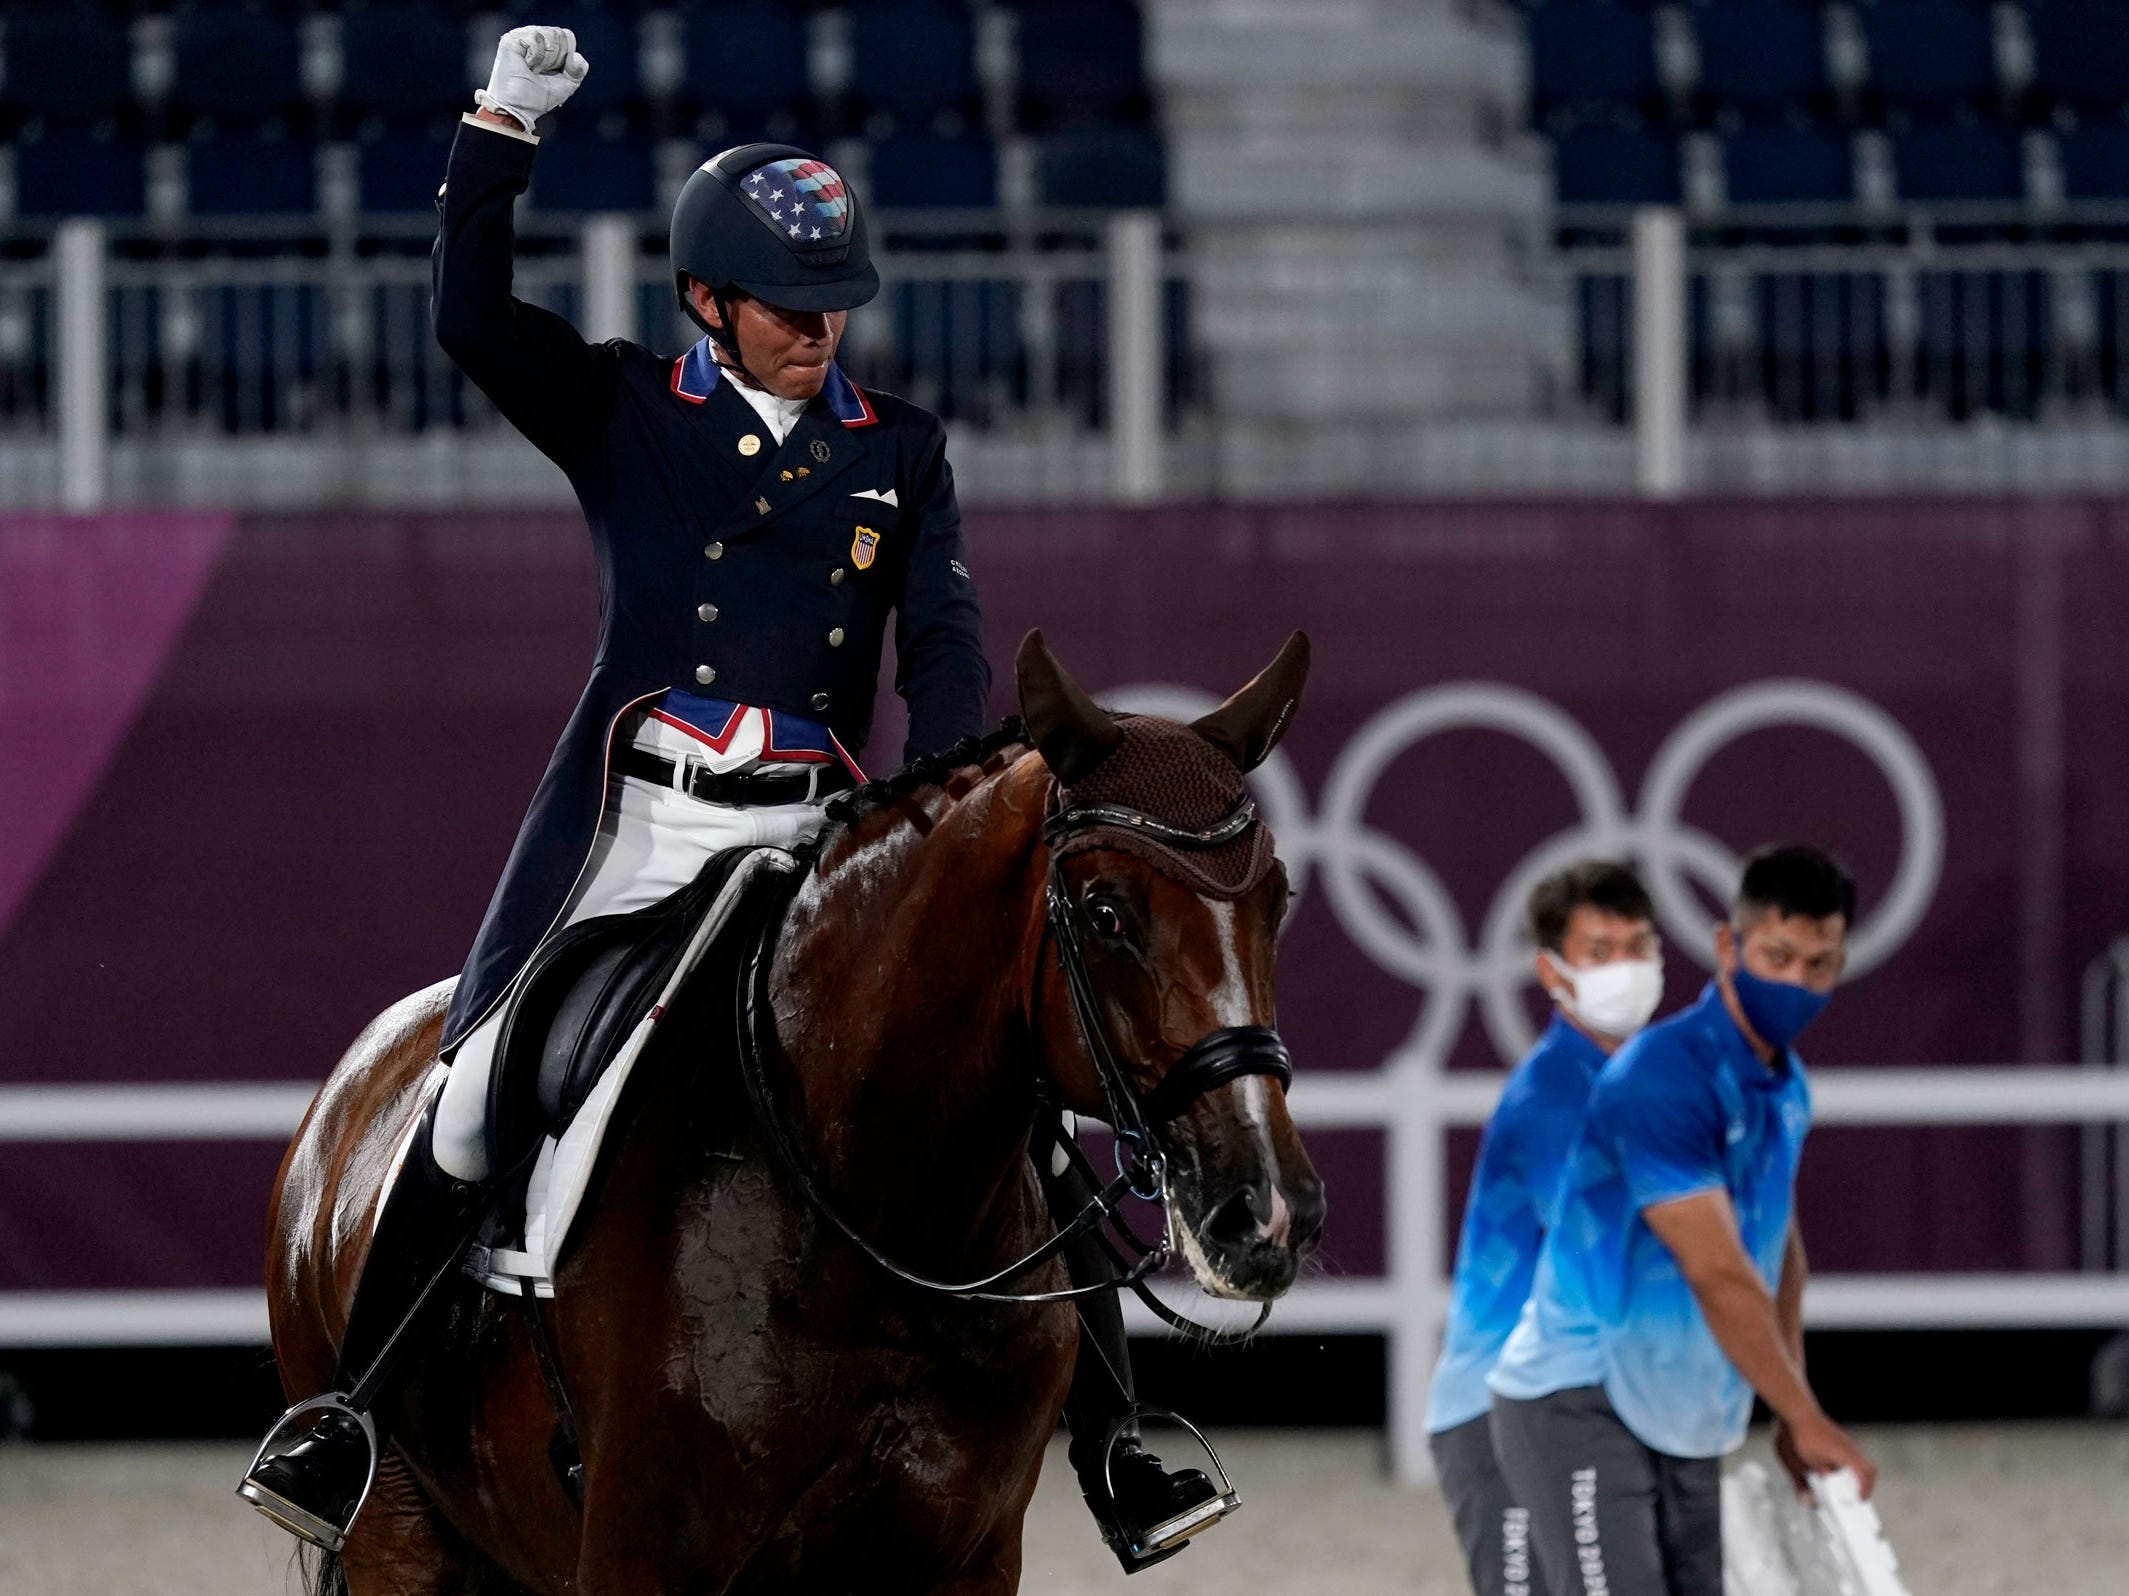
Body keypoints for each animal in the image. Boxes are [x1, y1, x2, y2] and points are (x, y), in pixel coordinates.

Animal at [263, 629, 1319, 1591]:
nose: (1267, 1210)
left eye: (1278, 898)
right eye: (1103, 913)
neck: (873, 1205)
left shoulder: (969, 1556)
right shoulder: (645, 1552)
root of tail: (354, 1082)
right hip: (401, 1531)